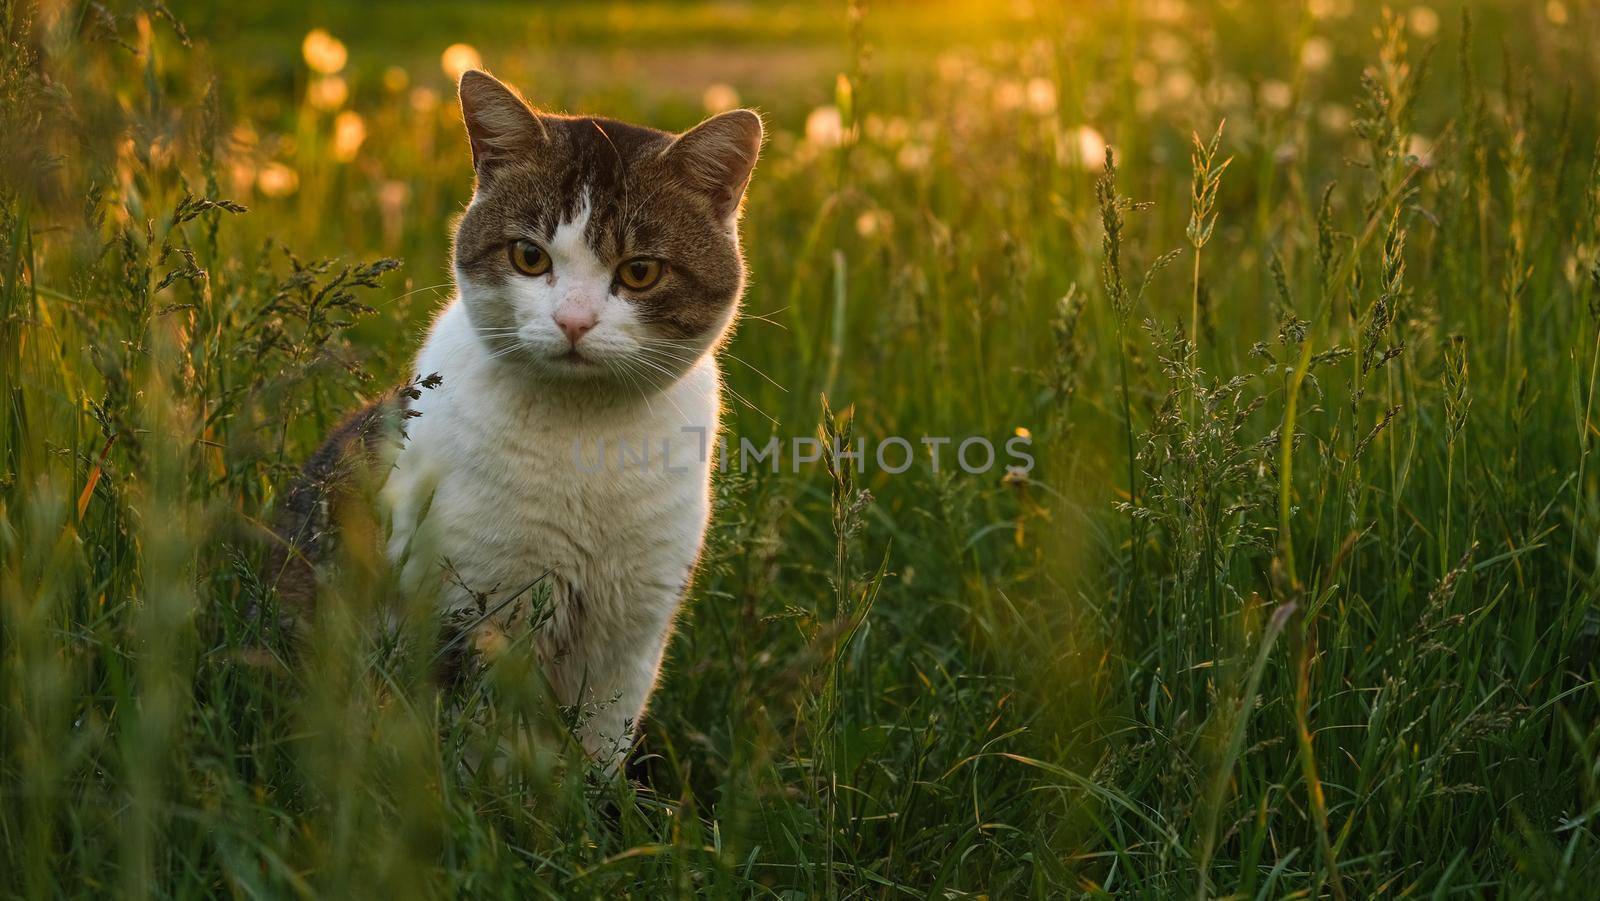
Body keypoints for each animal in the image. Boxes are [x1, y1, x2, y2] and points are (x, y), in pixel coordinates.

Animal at [273, 68, 761, 768]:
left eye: (640, 271)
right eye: (529, 257)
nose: (574, 321)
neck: (585, 437)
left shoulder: (632, 632)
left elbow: (599, 746)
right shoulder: (468, 608)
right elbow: (480, 746)